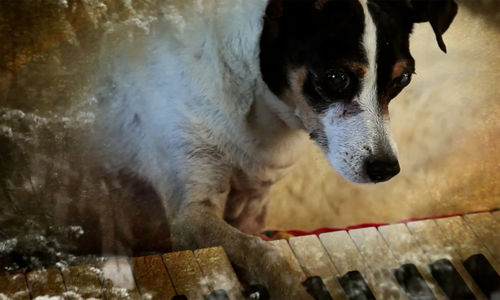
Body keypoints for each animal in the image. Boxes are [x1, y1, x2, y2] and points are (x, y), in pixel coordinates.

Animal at [94, 0, 458, 298]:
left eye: (404, 79)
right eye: (336, 77)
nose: (386, 170)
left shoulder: (255, 204)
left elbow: (259, 239)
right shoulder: (191, 214)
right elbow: (263, 252)